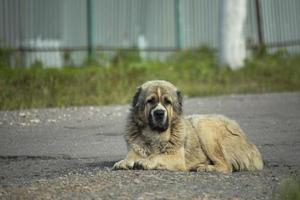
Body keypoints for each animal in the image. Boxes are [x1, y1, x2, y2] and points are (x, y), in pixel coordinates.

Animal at [112, 80, 262, 173]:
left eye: (167, 102)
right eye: (150, 101)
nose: (159, 113)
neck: (154, 135)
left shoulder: (176, 158)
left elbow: (157, 157)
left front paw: (146, 162)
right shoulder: (135, 151)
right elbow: (131, 157)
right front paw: (124, 162)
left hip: (203, 125)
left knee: (227, 166)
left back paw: (205, 168)